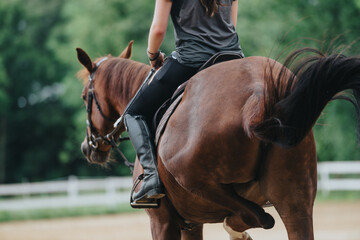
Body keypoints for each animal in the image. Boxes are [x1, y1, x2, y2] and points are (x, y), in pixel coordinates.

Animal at [76, 40, 360, 239]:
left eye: (84, 96)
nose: (88, 147)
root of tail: (258, 94)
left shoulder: (163, 222)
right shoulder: (191, 225)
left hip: (197, 181)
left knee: (257, 216)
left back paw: (236, 228)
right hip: (295, 200)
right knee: (267, 217)